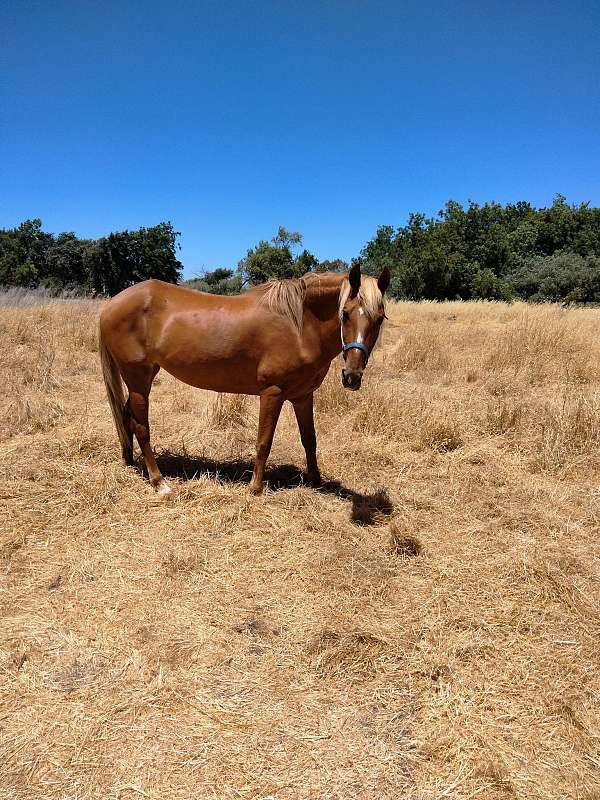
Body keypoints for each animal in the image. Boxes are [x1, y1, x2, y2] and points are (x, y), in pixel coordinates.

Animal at [98, 264, 390, 494]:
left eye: (379, 318)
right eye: (345, 314)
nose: (352, 376)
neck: (300, 325)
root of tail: (110, 304)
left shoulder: (303, 395)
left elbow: (310, 439)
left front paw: (315, 481)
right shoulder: (272, 393)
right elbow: (264, 441)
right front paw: (256, 487)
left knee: (126, 417)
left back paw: (131, 463)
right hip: (138, 378)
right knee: (141, 427)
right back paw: (159, 482)